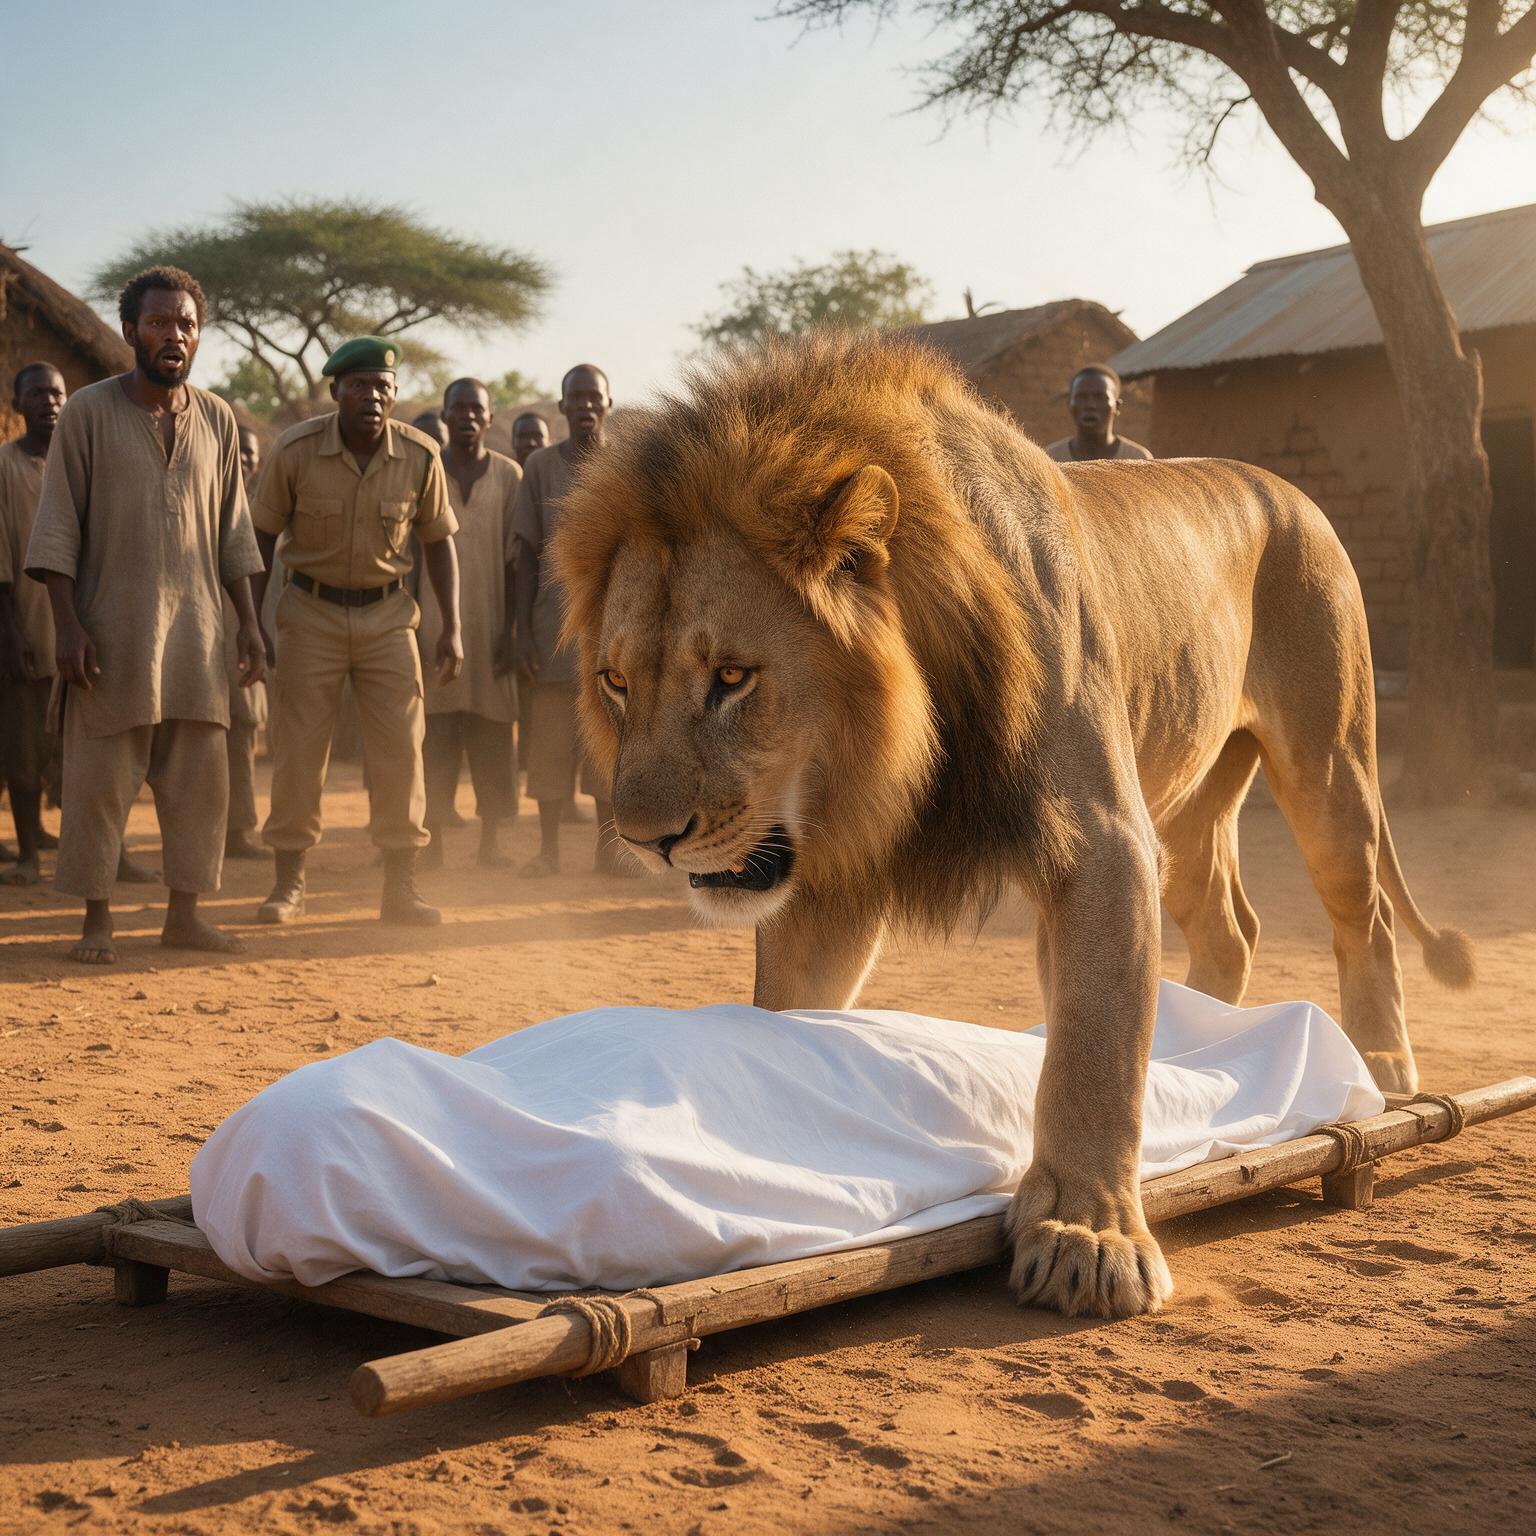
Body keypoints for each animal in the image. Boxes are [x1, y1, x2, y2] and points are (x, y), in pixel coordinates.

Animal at [550, 332, 1473, 1321]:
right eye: (615, 682)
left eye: (731, 677)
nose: (645, 839)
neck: (888, 753)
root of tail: (1291, 490)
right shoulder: (828, 875)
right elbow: (794, 1012)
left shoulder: (1103, 840)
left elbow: (1095, 1049)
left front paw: (1087, 1237)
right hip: (1190, 807)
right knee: (1232, 927)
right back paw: (1206, 1047)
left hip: (1330, 761)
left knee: (1366, 915)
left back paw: (1381, 1068)